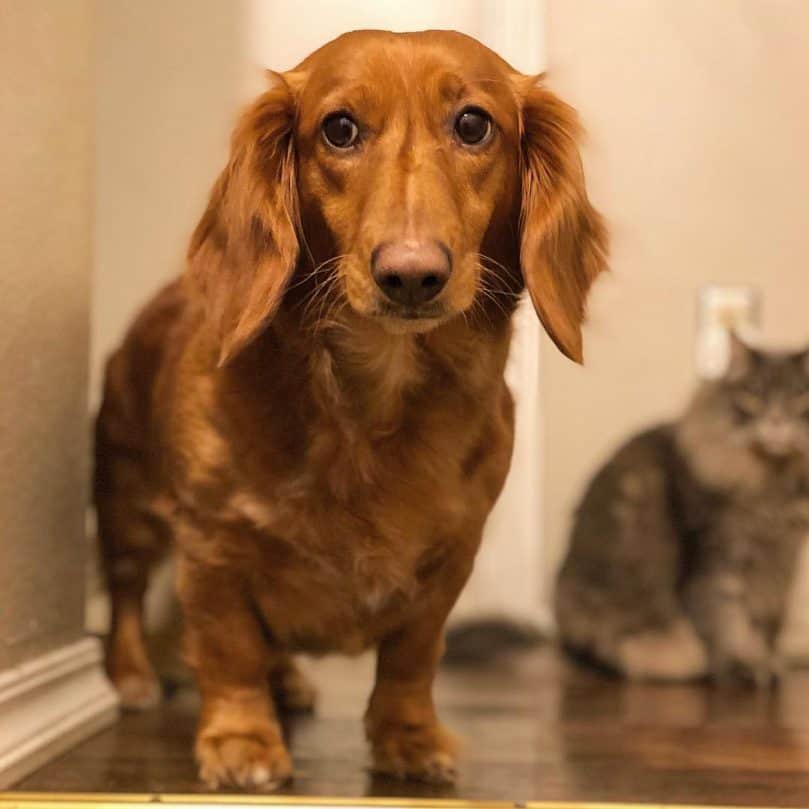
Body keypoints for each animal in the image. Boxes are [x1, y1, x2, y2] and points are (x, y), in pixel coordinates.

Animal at [96, 30, 608, 788]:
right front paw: (242, 741)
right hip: (127, 507)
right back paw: (132, 676)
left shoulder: (449, 563)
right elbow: (228, 649)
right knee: (126, 597)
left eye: (473, 124)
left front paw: (407, 737)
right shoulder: (212, 545)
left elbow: (410, 660)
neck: (371, 403)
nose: (411, 275)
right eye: (338, 129)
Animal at [556, 334, 809, 680]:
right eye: (752, 399)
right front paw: (740, 665)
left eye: (799, 401)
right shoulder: (716, 554)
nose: (776, 421)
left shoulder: (783, 562)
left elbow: (767, 624)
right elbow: (726, 615)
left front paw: (767, 662)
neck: (771, 483)